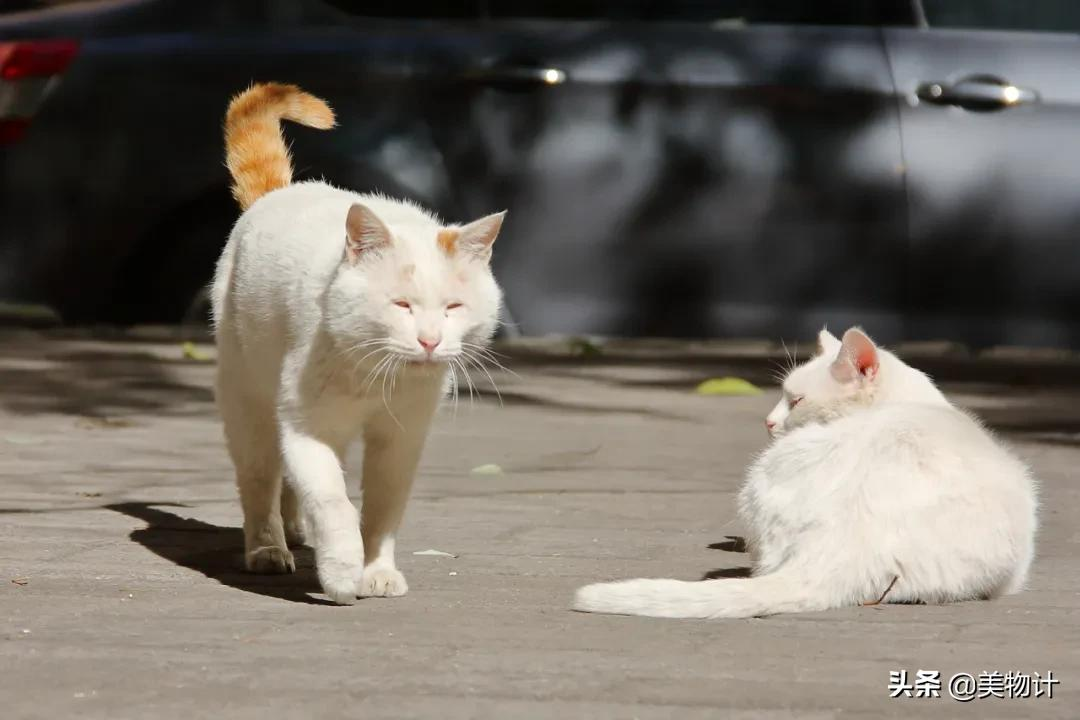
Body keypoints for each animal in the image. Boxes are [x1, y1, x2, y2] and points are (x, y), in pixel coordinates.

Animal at [210, 83, 505, 604]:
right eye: (401, 305)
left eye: (453, 308)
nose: (430, 341)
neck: (379, 376)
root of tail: (282, 192)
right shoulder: (309, 429)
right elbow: (334, 504)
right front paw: (343, 571)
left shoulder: (401, 438)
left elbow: (383, 511)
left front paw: (378, 571)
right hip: (249, 403)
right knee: (259, 479)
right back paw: (268, 549)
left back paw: (293, 530)